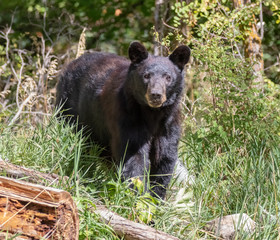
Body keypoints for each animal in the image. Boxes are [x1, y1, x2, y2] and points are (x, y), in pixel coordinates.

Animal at [56, 41, 192, 199]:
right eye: (146, 75)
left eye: (168, 77)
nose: (156, 94)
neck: (152, 114)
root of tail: (73, 62)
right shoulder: (127, 117)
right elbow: (133, 154)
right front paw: (138, 195)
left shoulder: (168, 124)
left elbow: (164, 157)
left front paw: (156, 197)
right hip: (70, 108)